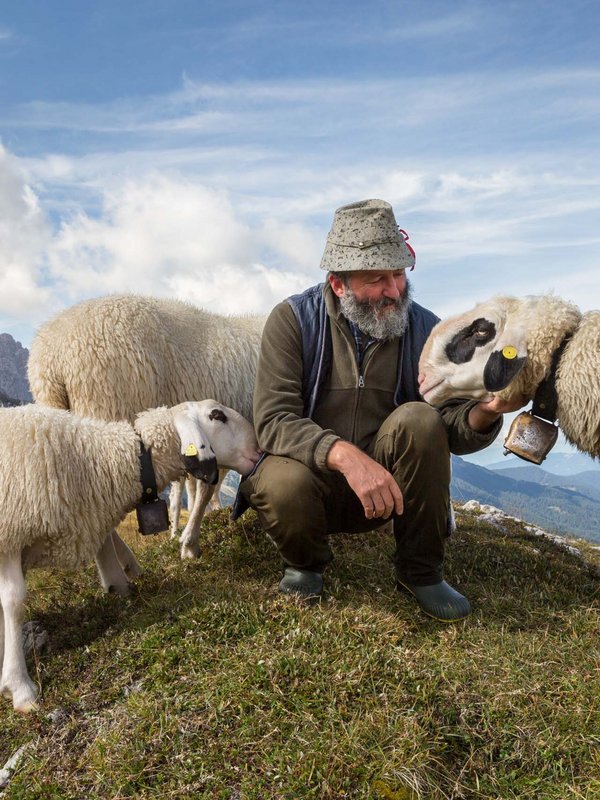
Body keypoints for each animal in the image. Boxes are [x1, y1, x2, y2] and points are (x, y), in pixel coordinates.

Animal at [0, 400, 260, 712]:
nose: (257, 445)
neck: (94, 459)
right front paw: (19, 686)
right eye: (217, 415)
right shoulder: (10, 536)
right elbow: (13, 601)